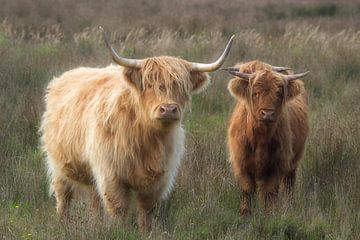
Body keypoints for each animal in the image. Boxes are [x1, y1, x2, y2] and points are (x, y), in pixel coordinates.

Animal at [224, 60, 308, 214]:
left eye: (278, 93)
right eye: (255, 93)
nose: (267, 113)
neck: (260, 137)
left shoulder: (277, 164)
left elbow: (269, 192)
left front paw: (270, 213)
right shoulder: (241, 163)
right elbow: (247, 189)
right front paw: (245, 213)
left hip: (294, 162)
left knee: (289, 184)